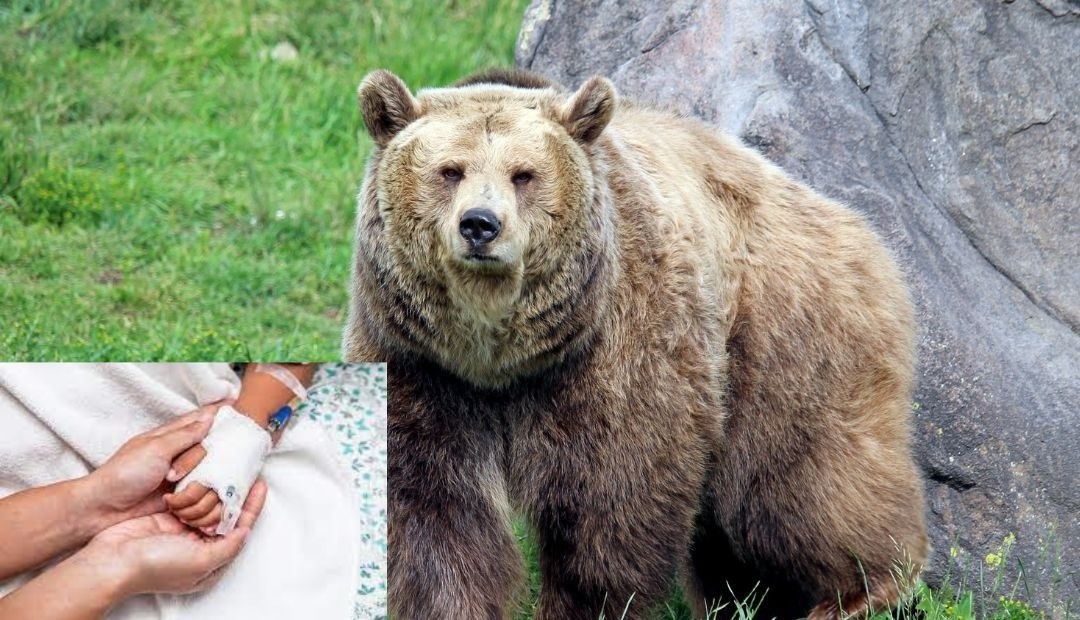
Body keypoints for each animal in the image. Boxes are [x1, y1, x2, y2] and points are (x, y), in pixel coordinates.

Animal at [344, 67, 929, 620]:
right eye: (450, 171)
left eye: (523, 174)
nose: (480, 225)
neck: (497, 357)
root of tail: (854, 224)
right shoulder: (417, 362)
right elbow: (432, 506)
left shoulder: (616, 346)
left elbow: (613, 493)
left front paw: (585, 604)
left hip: (783, 332)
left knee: (795, 483)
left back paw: (864, 590)